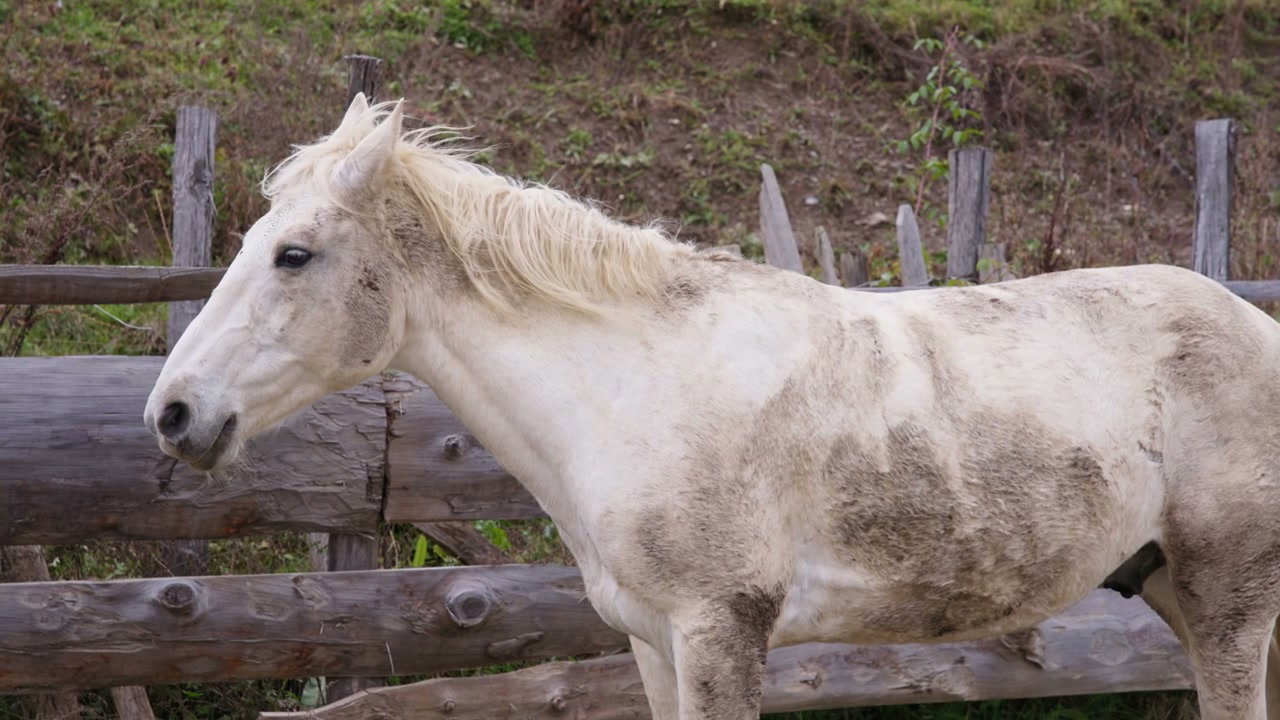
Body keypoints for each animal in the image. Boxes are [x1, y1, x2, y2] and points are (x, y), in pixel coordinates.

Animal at [145, 95, 1280, 719]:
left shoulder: (719, 635)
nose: (173, 413)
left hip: (1229, 600)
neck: (639, 391)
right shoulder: (654, 644)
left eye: (294, 255)